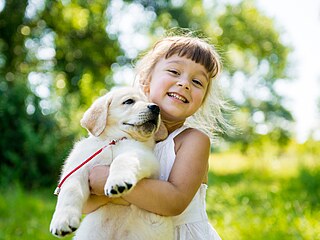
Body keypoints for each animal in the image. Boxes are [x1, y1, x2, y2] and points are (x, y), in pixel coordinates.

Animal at [50, 87, 174, 240]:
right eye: (129, 101)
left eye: (151, 102)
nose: (156, 108)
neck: (113, 140)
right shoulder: (78, 168)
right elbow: (70, 190)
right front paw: (62, 221)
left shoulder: (142, 155)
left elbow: (122, 160)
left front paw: (118, 182)